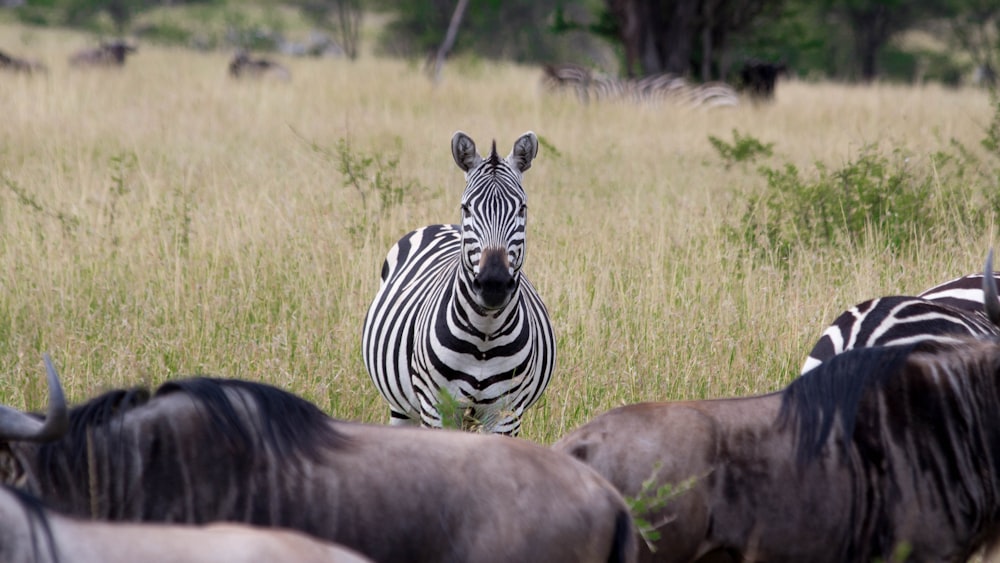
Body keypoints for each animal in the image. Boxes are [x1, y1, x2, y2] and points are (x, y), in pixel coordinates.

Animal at [364, 131, 560, 436]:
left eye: (522, 208)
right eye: (466, 207)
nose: (493, 284)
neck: (485, 337)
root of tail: (444, 225)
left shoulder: (507, 414)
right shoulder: (436, 410)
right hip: (401, 406)